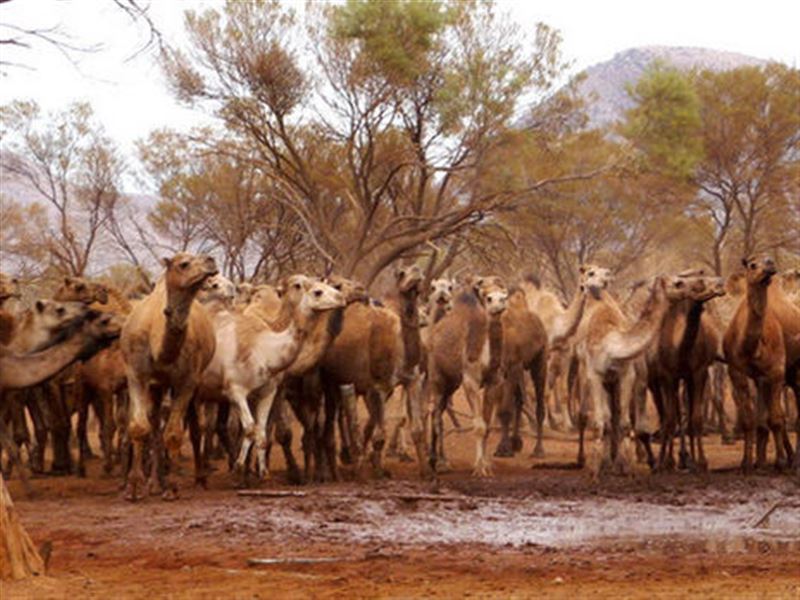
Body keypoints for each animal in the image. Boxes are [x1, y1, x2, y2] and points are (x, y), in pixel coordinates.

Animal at [121, 253, 219, 502]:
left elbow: (174, 433)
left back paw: (199, 479)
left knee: (195, 427)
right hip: (156, 387)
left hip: (192, 383)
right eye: (183, 264)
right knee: (155, 425)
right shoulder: (136, 374)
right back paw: (155, 484)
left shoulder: (187, 381)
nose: (211, 260)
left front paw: (173, 488)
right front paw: (133, 487)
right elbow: (139, 427)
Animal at [576, 268, 668, 478]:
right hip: (587, 376)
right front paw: (596, 471)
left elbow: (624, 422)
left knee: (617, 416)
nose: (606, 276)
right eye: (590, 273)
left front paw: (627, 469)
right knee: (589, 415)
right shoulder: (595, 376)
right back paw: (590, 461)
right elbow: (601, 421)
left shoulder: (626, 375)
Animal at [724, 255, 800, 472]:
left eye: (769, 261)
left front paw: (780, 462)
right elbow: (751, 421)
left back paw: (794, 461)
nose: (770, 264)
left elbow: (776, 419)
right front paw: (748, 463)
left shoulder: (775, 372)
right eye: (752, 265)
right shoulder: (738, 372)